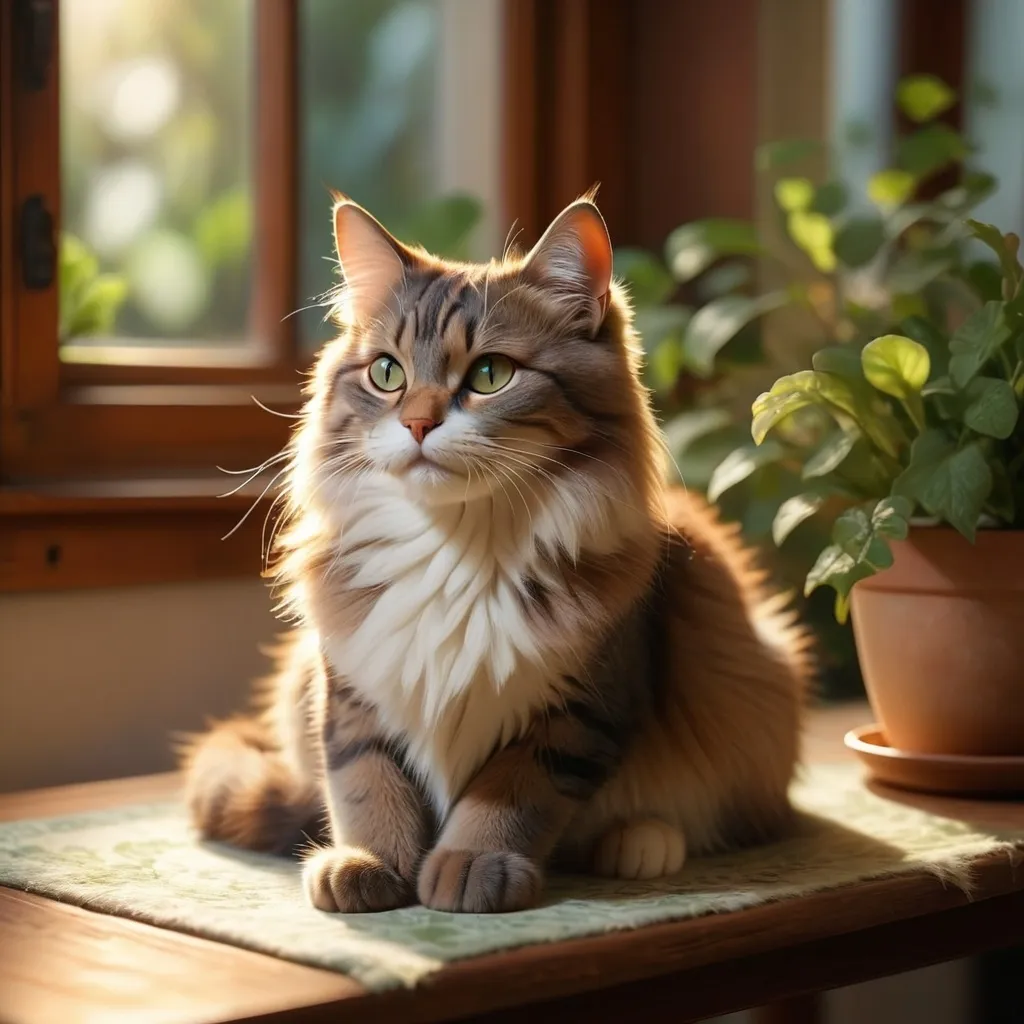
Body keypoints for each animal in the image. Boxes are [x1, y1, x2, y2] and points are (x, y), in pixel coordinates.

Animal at [180, 195, 811, 917]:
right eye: (387, 373)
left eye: (490, 375)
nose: (418, 423)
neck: (456, 549)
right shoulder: (353, 689)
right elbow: (367, 786)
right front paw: (371, 864)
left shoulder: (578, 707)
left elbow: (508, 796)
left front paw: (471, 865)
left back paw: (640, 843)